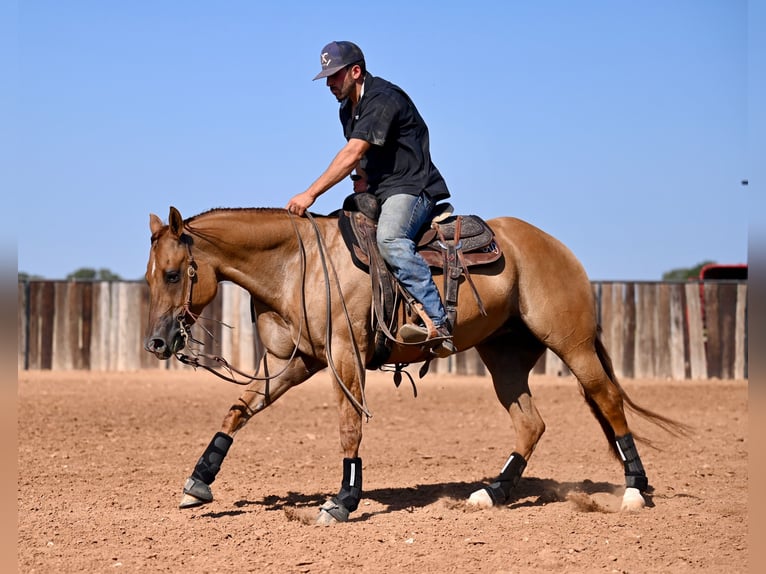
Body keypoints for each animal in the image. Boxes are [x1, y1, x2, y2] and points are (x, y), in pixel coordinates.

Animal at [144, 206, 684, 528]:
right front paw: (197, 483)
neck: (300, 264)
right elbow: (238, 409)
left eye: (172, 274)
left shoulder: (345, 356)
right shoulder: (296, 364)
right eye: (150, 277)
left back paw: (635, 490)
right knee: (531, 423)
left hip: (573, 344)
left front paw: (343, 500)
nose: (157, 342)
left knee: (608, 400)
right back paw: (492, 492)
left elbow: (349, 426)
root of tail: (557, 248)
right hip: (504, 358)